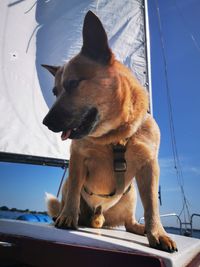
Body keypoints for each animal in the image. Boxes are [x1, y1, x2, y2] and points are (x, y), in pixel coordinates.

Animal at [42, 10, 177, 253]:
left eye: (73, 83)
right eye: (55, 91)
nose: (45, 122)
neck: (115, 136)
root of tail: (98, 217)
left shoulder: (149, 166)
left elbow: (152, 205)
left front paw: (157, 233)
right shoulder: (77, 159)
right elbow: (75, 188)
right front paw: (67, 217)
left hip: (131, 194)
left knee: (129, 221)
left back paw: (139, 228)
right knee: (71, 198)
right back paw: (68, 216)